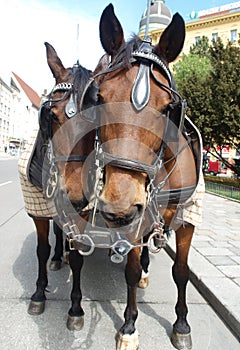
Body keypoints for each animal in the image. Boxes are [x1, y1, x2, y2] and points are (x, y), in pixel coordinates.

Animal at [88, 4, 201, 348]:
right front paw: (128, 326)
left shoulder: (187, 219)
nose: (119, 206)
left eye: (168, 109)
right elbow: (131, 270)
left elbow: (181, 270)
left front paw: (182, 324)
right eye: (99, 98)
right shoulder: (132, 221)